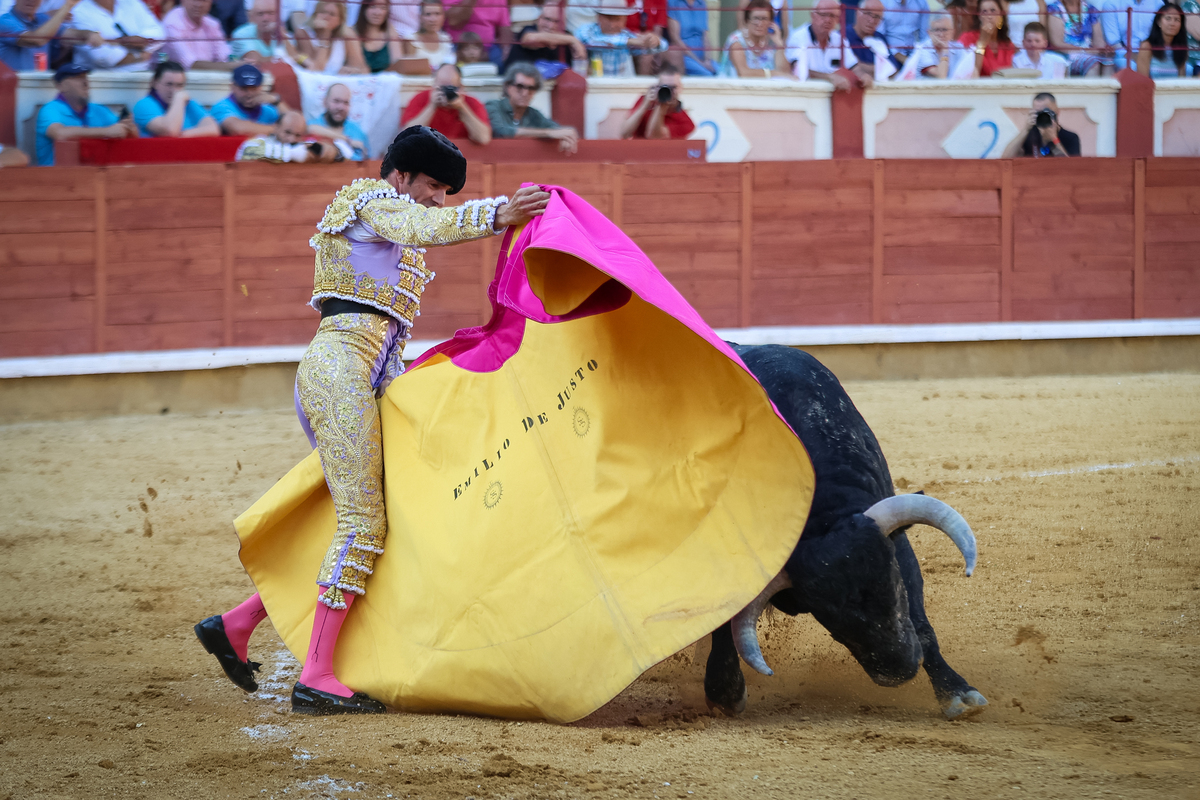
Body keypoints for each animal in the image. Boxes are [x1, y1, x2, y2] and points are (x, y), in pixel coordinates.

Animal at [705, 347, 979, 724]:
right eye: (827, 617)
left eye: (893, 586)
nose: (898, 672)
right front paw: (725, 693)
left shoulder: (898, 543)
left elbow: (921, 620)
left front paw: (958, 694)